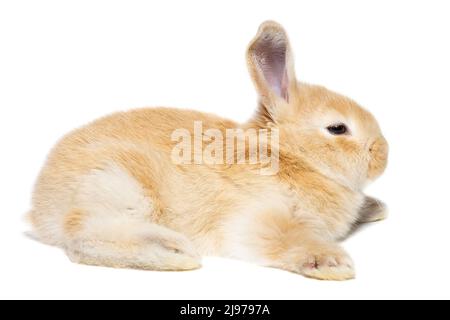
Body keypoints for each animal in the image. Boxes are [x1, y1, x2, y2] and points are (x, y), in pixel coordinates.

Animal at [28, 20, 386, 280]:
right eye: (338, 128)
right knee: (80, 238)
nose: (383, 154)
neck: (287, 155)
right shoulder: (258, 217)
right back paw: (173, 253)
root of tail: (40, 206)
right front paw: (333, 263)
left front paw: (375, 207)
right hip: (118, 183)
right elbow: (289, 240)